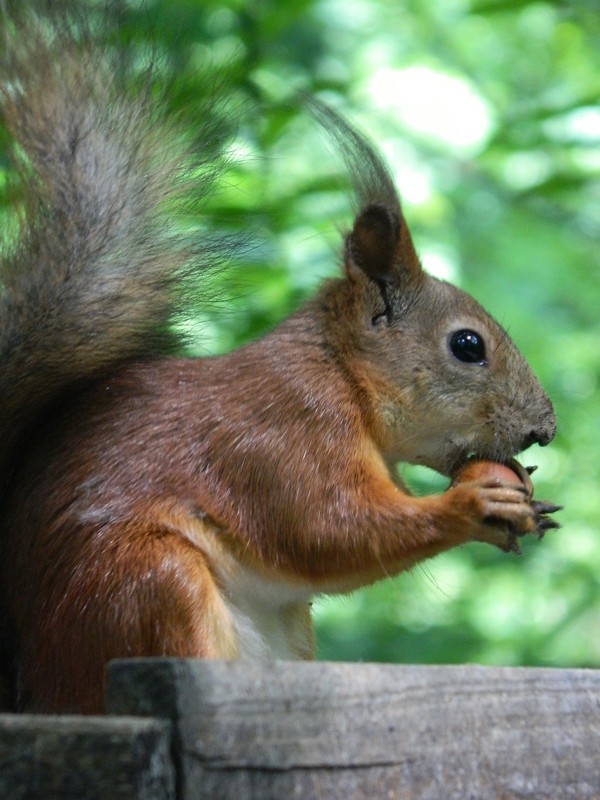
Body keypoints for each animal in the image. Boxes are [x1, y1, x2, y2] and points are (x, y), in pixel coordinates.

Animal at [1, 1, 564, 712]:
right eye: (468, 346)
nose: (545, 429)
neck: (344, 376)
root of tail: (36, 686)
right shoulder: (283, 434)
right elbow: (327, 527)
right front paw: (473, 505)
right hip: (143, 580)